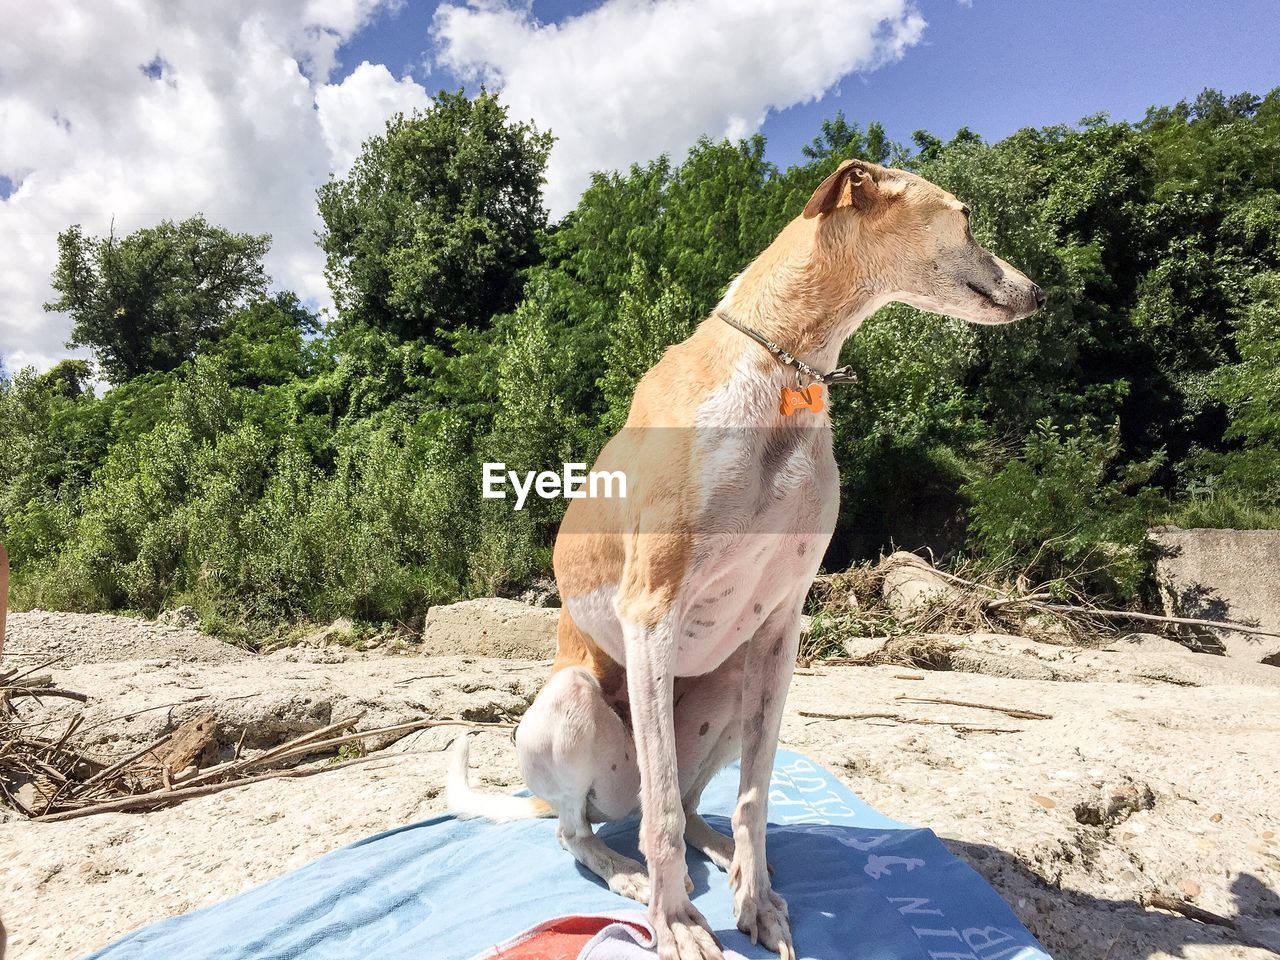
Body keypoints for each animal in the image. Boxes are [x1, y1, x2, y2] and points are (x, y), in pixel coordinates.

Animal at [450, 161, 1039, 957]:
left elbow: (754, 796)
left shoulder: (780, 628)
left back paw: (722, 857)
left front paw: (754, 901)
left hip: (729, 688)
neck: (781, 369)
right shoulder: (652, 608)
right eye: (968, 215)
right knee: (596, 824)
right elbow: (663, 823)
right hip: (569, 706)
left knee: (690, 799)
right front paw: (675, 922)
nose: (1040, 293)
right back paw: (625, 872)